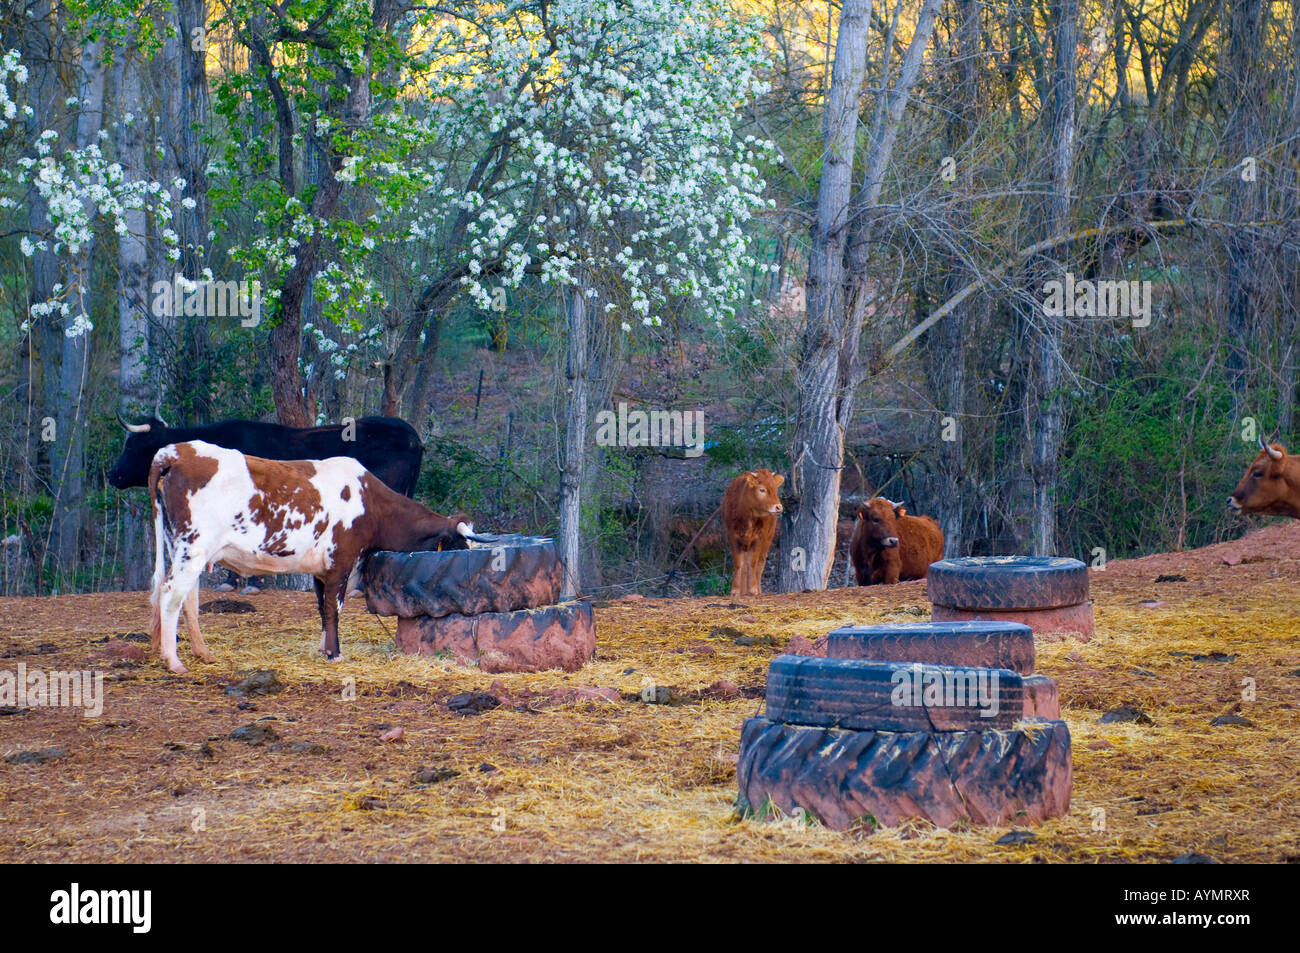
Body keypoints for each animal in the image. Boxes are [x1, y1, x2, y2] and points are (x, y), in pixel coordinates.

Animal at [148, 439, 483, 670]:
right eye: (458, 545)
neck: (369, 502)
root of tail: (177, 451)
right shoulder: (341, 563)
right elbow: (334, 609)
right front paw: (335, 653)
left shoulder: (320, 570)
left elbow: (322, 608)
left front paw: (324, 648)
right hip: (193, 548)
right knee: (171, 593)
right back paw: (173, 660)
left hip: (182, 548)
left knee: (188, 599)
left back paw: (201, 652)